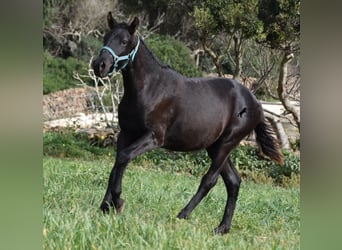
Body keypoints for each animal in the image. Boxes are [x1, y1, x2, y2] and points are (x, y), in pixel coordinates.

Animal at [92, 11, 284, 234]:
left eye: (124, 41)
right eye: (106, 38)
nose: (99, 66)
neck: (150, 87)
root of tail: (256, 104)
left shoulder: (153, 137)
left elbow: (123, 158)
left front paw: (118, 202)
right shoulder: (126, 133)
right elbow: (117, 163)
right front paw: (106, 206)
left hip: (227, 143)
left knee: (210, 180)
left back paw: (183, 214)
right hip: (215, 146)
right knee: (233, 182)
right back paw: (222, 228)